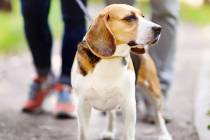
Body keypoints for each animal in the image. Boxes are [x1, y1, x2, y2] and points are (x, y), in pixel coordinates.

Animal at [71, 4, 171, 140]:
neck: (109, 59)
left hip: (154, 92)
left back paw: (164, 134)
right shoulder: (82, 105)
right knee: (111, 114)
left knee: (158, 116)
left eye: (143, 16)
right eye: (129, 18)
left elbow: (129, 133)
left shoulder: (129, 105)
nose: (159, 28)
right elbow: (83, 134)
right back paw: (109, 131)